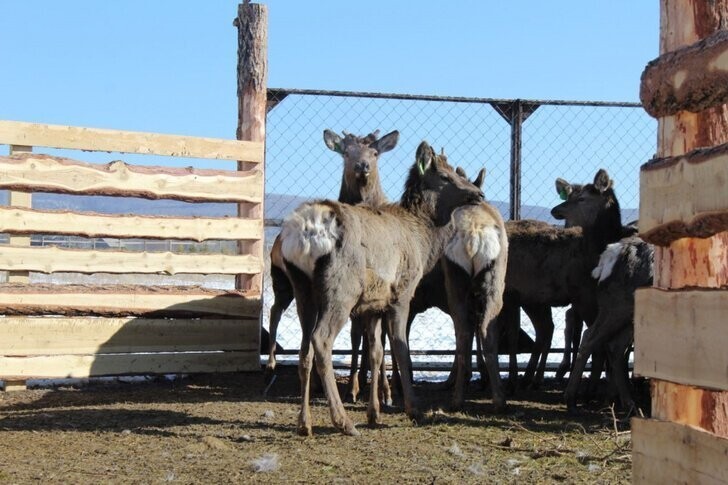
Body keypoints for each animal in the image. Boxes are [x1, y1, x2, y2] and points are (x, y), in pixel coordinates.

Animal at [264, 129, 398, 404]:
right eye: (346, 152)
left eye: (375, 152)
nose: (362, 166)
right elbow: (358, 339)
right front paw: (355, 388)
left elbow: (376, 340)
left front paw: (382, 390)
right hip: (286, 282)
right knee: (279, 312)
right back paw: (274, 365)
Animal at [278, 141, 484, 434]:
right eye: (446, 177)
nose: (478, 193)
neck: (423, 240)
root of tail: (304, 230)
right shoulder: (402, 293)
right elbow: (401, 349)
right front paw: (413, 409)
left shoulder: (373, 304)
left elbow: (376, 352)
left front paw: (374, 413)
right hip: (340, 289)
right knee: (322, 341)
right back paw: (342, 421)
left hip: (303, 289)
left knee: (304, 349)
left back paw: (304, 423)